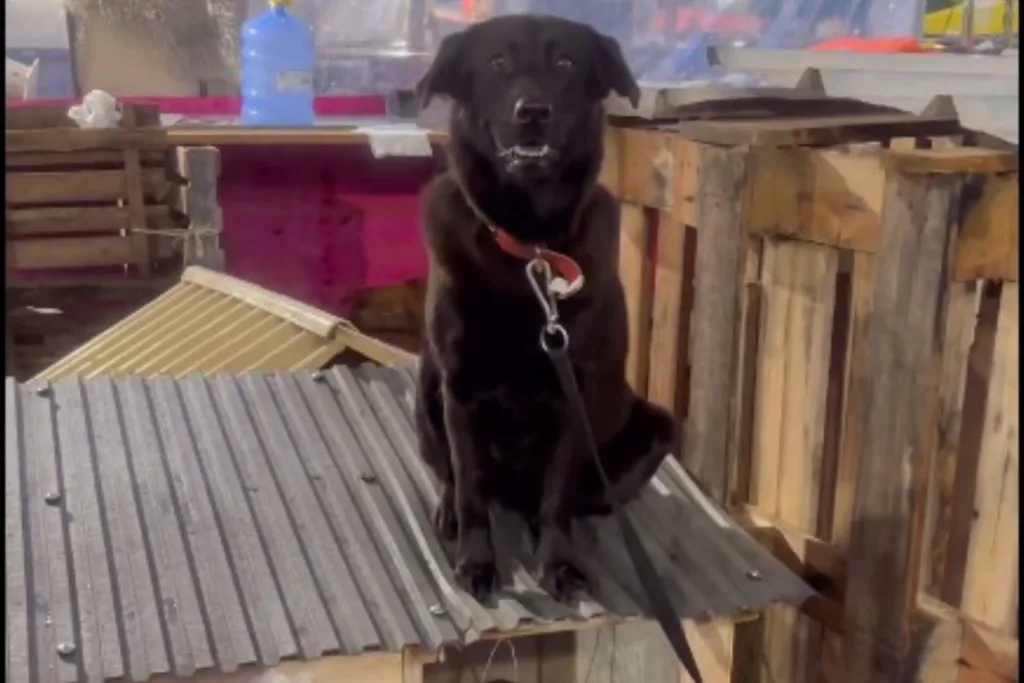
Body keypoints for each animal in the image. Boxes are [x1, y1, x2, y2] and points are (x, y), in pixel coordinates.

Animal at [411, 14, 675, 602]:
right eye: (496, 62)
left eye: (565, 62)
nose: (532, 112)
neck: (529, 247)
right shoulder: (460, 389)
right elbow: (470, 487)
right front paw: (476, 559)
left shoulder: (574, 391)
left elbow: (556, 494)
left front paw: (558, 560)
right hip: (426, 392)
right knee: (455, 475)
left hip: (656, 428)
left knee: (562, 497)